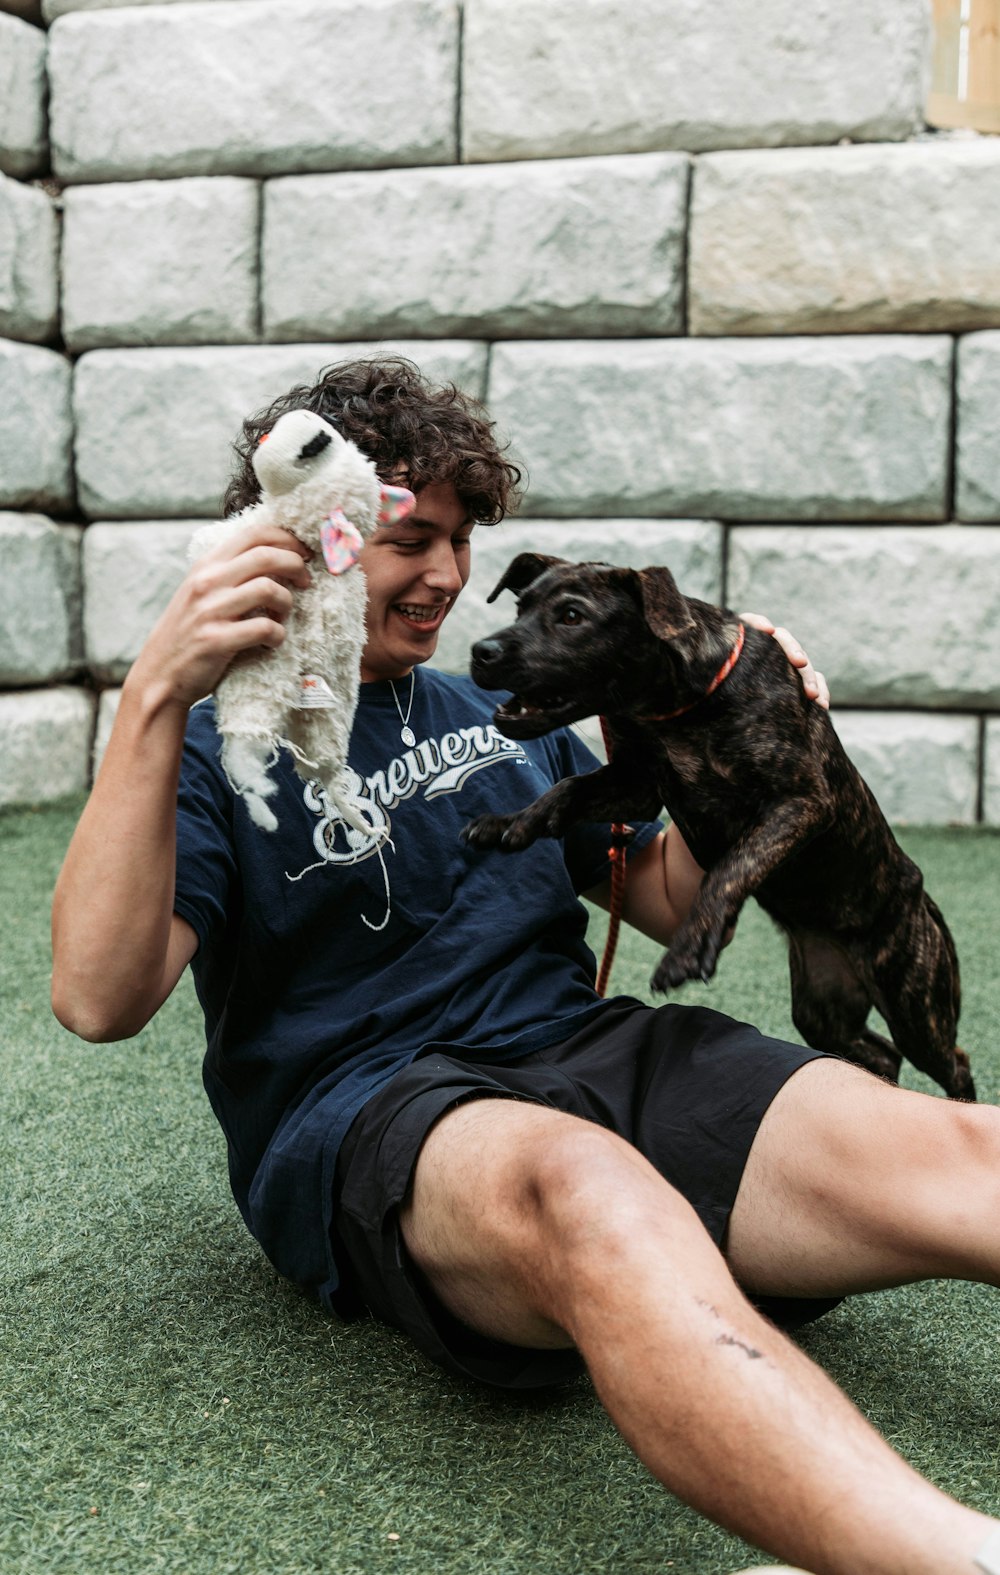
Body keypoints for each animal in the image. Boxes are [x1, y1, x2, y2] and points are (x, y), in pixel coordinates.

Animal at [462, 560, 976, 1102]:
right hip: (823, 1008)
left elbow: (729, 869)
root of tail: (923, 903)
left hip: (914, 1003)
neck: (678, 706)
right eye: (520, 607)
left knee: (953, 1059)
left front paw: (689, 949)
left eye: (572, 616)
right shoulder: (635, 785)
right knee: (880, 1054)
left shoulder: (799, 802)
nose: (481, 651)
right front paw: (510, 823)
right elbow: (567, 789)